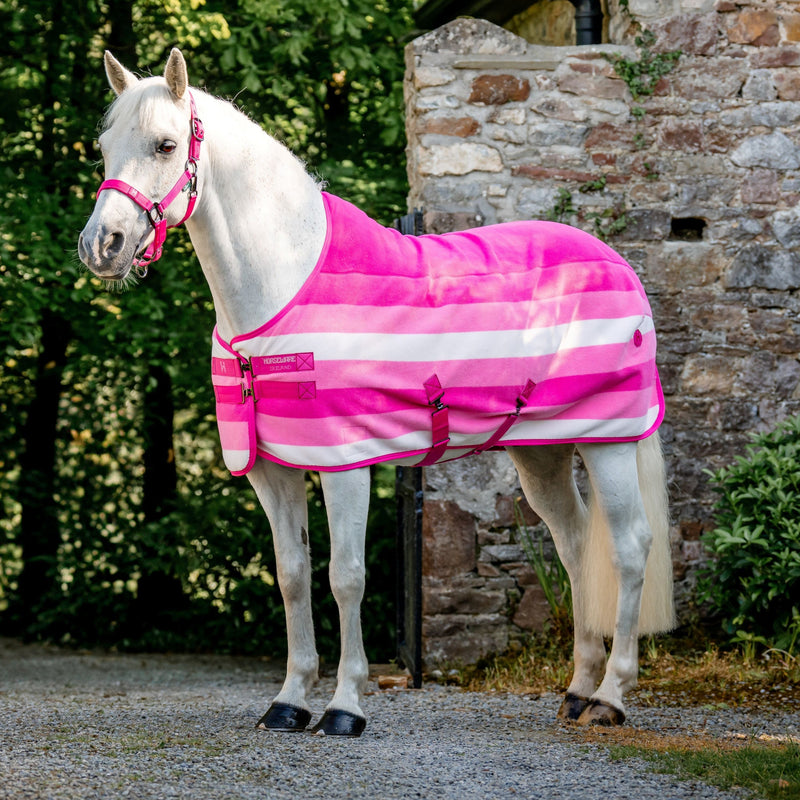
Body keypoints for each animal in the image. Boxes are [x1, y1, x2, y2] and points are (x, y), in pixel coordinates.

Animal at [78, 48, 674, 736]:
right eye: (104, 146)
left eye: (166, 144)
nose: (101, 246)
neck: (282, 287)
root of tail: (618, 263)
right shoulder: (273, 470)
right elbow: (292, 575)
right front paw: (288, 701)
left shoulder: (346, 464)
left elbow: (347, 577)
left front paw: (344, 707)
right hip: (542, 451)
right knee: (575, 544)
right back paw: (576, 689)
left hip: (609, 441)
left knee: (628, 548)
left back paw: (610, 697)